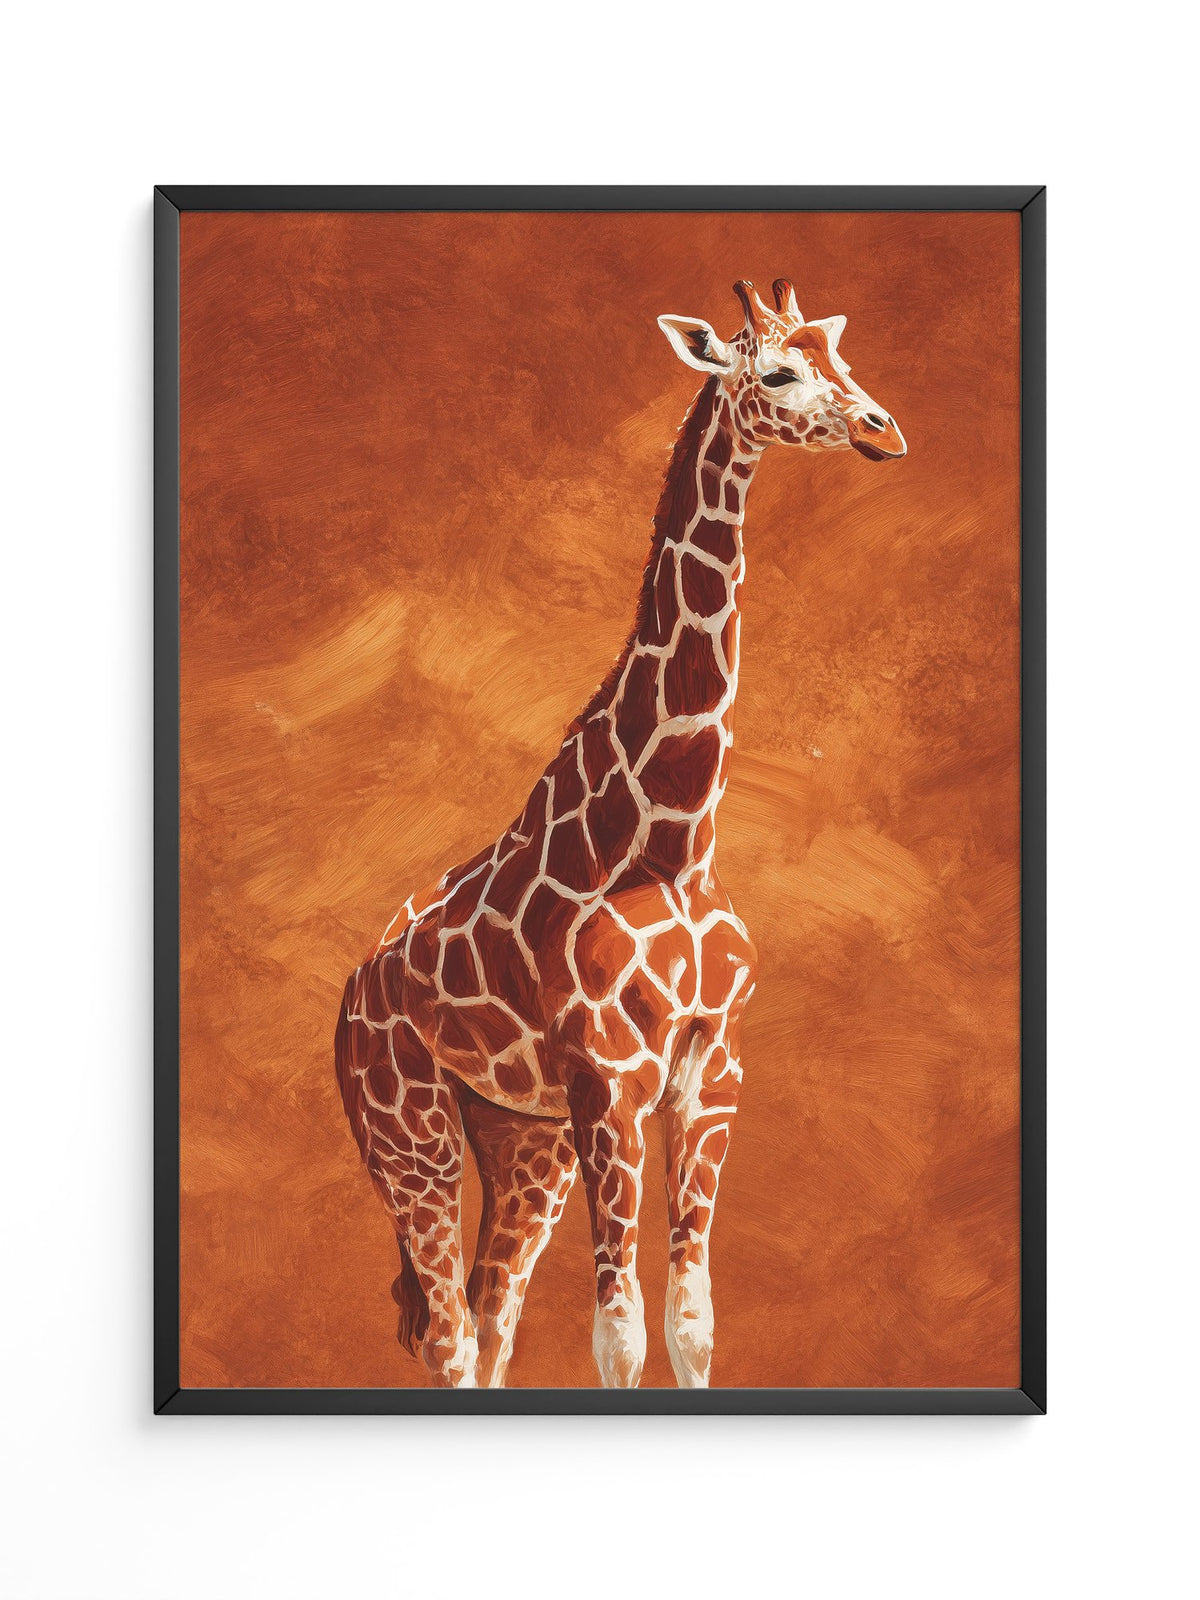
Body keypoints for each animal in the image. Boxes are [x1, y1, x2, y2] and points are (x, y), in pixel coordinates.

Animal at [334, 277, 905, 1389]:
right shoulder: (609, 1077)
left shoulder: (707, 1074)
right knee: (450, 1334)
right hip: (411, 1133)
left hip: (523, 1139)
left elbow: (690, 1323)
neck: (674, 838)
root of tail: (353, 989)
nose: (882, 430)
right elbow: (620, 1332)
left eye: (846, 361)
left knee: (492, 1314)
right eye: (779, 372)